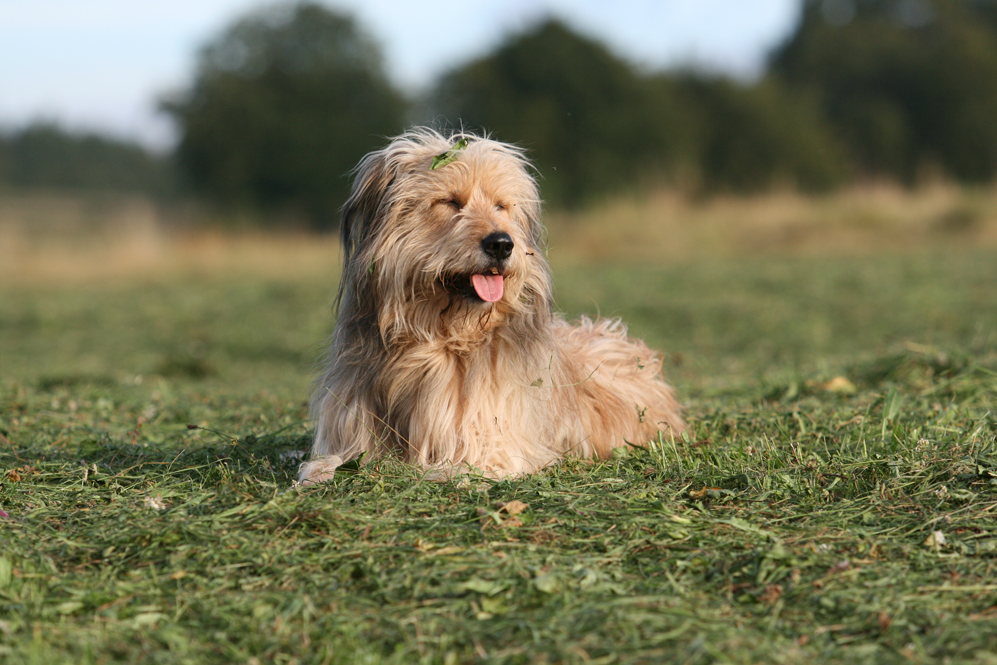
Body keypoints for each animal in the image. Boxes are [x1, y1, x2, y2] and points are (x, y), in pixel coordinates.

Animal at [299, 128, 684, 484]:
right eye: (450, 202)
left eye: (501, 205)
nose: (501, 244)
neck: (440, 337)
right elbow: (333, 462)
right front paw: (319, 475)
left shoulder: (488, 443)